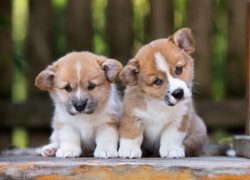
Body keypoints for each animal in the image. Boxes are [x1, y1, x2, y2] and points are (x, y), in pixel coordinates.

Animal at [118, 27, 207, 158]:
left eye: (179, 69)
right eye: (157, 81)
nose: (178, 93)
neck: (159, 103)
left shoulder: (179, 119)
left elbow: (170, 136)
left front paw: (171, 150)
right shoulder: (131, 115)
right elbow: (132, 134)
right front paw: (129, 150)